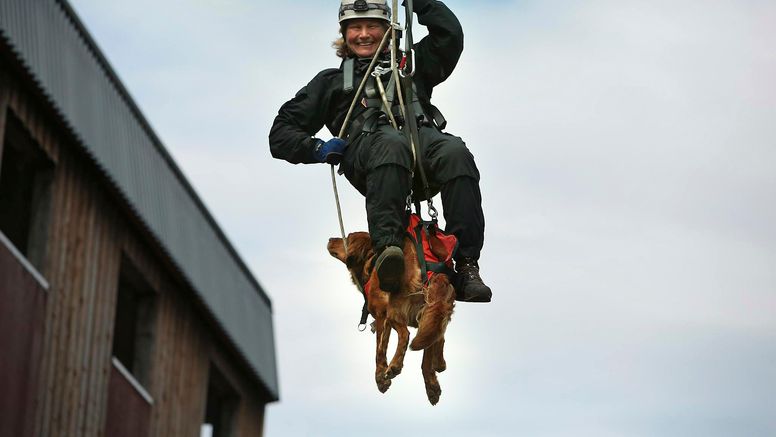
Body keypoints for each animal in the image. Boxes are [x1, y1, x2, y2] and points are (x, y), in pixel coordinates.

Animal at [328, 230, 454, 404]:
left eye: (347, 237)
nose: (330, 239)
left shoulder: (381, 314)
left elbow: (379, 349)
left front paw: (380, 377)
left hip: (395, 311)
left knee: (405, 335)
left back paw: (395, 365)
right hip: (429, 312)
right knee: (432, 344)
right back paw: (433, 383)